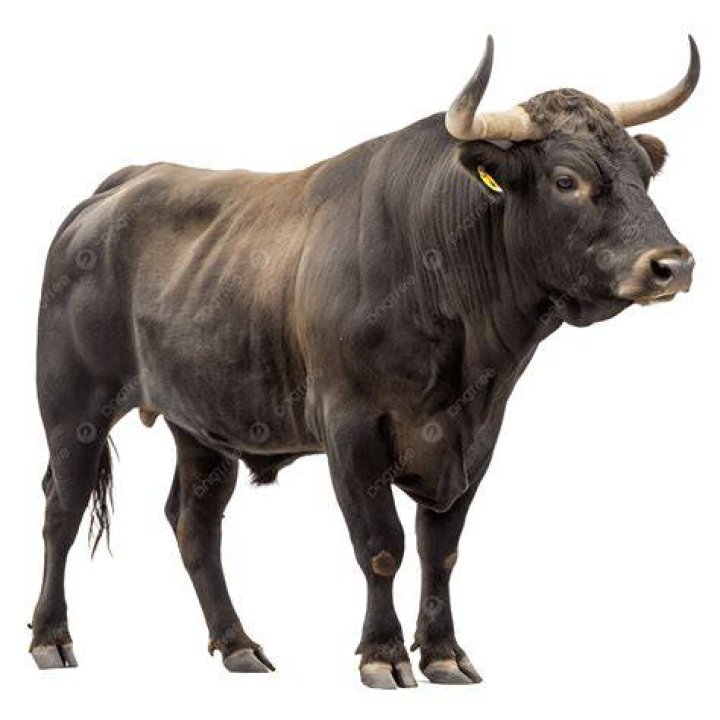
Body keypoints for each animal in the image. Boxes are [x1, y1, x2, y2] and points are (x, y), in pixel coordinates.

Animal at [31, 36, 699, 689]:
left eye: (644, 174)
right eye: (566, 180)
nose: (673, 264)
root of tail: (118, 187)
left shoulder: (477, 433)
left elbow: (441, 548)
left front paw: (444, 653)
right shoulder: (351, 427)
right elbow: (381, 544)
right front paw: (384, 653)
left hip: (200, 422)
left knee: (195, 523)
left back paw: (238, 645)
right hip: (73, 407)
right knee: (62, 509)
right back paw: (50, 639)